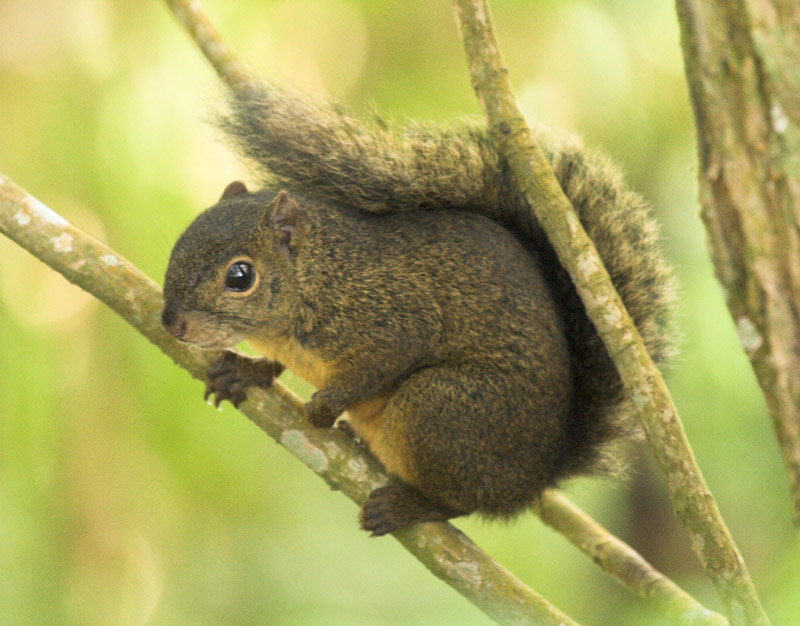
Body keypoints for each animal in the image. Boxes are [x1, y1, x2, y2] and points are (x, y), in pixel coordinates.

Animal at [161, 82, 677, 536]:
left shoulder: (396, 317)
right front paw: (243, 371)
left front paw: (322, 409)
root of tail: (533, 480)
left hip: (438, 409)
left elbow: (384, 360)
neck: (318, 280)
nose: (171, 323)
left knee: (462, 502)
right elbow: (271, 366)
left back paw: (407, 506)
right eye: (179, 241)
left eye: (240, 276)